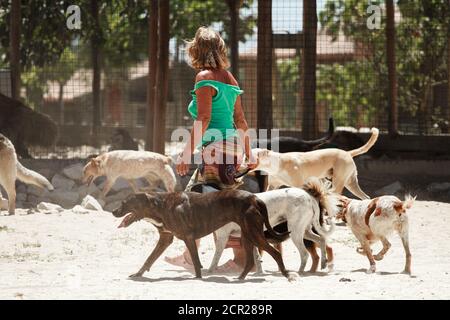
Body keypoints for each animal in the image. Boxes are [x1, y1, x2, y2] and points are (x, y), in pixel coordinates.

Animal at [113, 190, 296, 280]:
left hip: (254, 233)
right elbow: (149, 259)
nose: (114, 211)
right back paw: (240, 278)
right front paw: (138, 274)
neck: (160, 205)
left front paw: (198, 278)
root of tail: (254, 198)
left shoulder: (188, 238)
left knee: (276, 252)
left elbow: (195, 262)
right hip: (247, 235)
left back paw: (286, 274)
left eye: (124, 203)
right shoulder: (165, 239)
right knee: (251, 260)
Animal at [209, 179, 340, 274]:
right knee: (321, 240)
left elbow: (215, 258)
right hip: (305, 232)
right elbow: (257, 258)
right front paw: (259, 273)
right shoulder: (251, 238)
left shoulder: (223, 237)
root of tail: (309, 197)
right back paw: (323, 263)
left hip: (296, 234)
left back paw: (300, 272)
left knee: (305, 254)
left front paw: (210, 271)